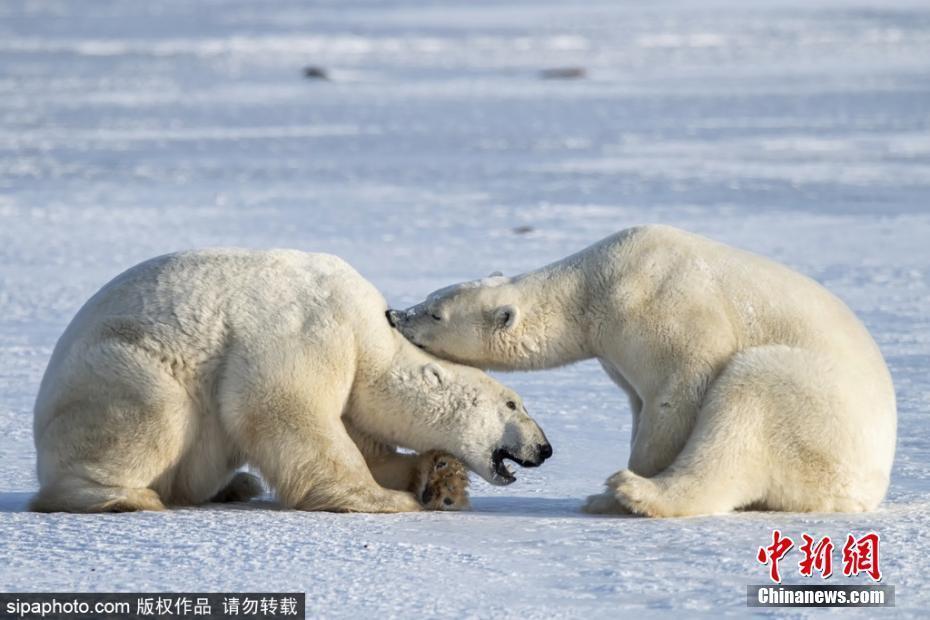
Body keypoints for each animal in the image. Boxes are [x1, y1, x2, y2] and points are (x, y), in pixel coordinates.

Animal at [30, 248, 552, 512]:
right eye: (513, 404)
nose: (544, 448)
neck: (368, 327)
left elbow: (366, 439)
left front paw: (440, 479)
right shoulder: (312, 328)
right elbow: (284, 409)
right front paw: (386, 499)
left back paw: (236, 485)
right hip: (122, 365)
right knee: (155, 415)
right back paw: (124, 497)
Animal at [388, 225, 896, 516]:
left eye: (435, 312)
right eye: (429, 298)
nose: (395, 314)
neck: (597, 282)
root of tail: (865, 491)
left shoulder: (663, 307)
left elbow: (681, 390)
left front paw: (631, 481)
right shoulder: (616, 352)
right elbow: (638, 402)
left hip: (812, 412)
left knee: (745, 412)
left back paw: (628, 493)